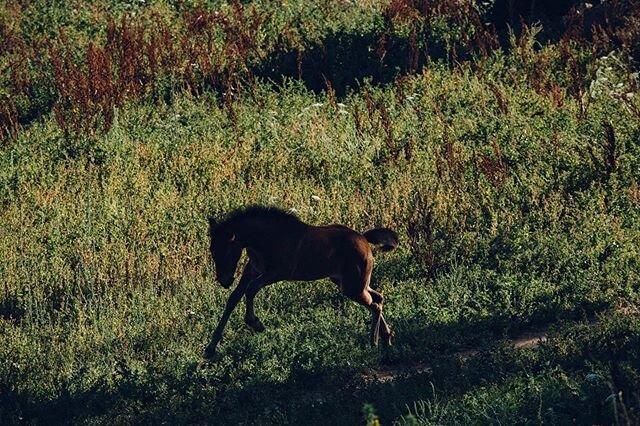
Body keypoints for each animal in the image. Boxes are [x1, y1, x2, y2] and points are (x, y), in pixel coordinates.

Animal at [202, 205, 398, 358]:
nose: (224, 280)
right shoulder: (252, 269)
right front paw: (210, 348)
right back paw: (387, 338)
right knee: (378, 298)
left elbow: (250, 290)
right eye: (212, 250)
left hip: (352, 287)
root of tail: (364, 239)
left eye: (225, 251)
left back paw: (373, 343)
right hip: (348, 282)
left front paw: (256, 323)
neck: (266, 238)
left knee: (375, 304)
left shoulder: (278, 272)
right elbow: (233, 298)